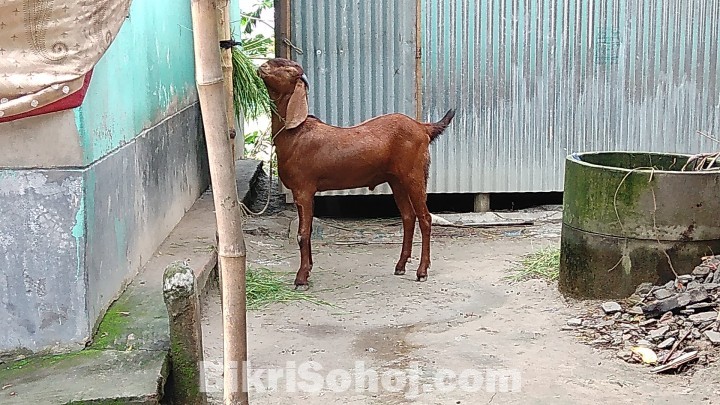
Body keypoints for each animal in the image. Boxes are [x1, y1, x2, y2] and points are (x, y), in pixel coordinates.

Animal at [258, 58, 455, 289]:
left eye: (288, 69)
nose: (262, 66)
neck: (296, 133)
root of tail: (423, 128)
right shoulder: (303, 193)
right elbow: (307, 230)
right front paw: (309, 268)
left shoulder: (303, 189)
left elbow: (302, 234)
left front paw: (301, 278)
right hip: (396, 180)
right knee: (408, 216)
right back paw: (400, 265)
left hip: (414, 174)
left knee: (425, 218)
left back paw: (422, 271)